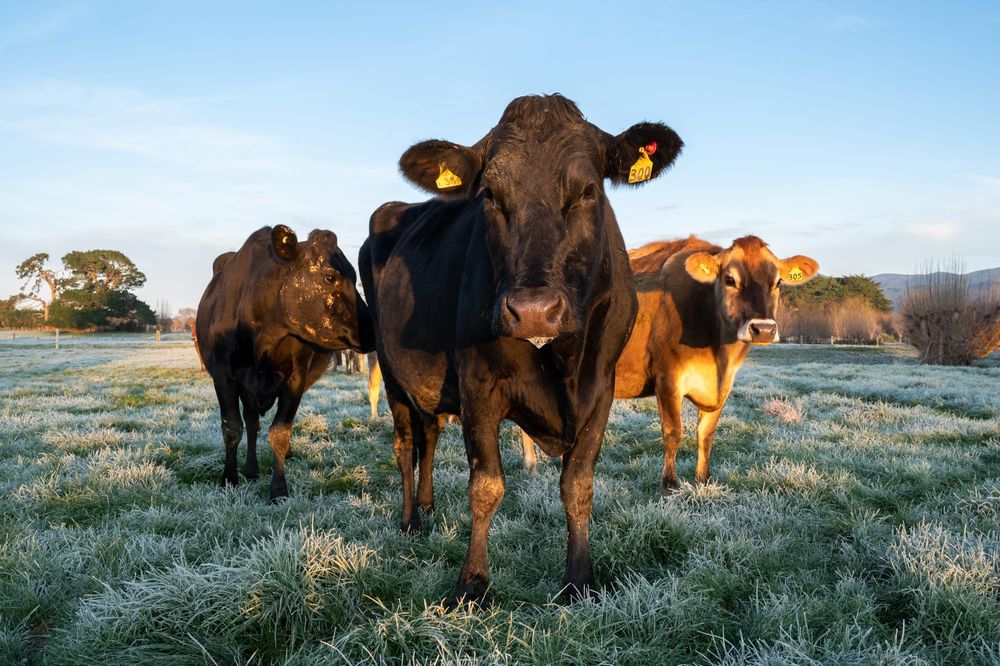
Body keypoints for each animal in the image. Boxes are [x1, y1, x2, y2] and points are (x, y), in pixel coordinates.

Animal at [196, 225, 375, 502]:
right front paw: (228, 479)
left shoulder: (295, 379)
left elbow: (280, 432)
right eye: (330, 277)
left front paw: (279, 489)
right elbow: (232, 428)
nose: (372, 330)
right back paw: (251, 468)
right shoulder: (224, 376)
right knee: (252, 422)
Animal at [359, 94, 683, 605]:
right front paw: (472, 583)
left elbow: (578, 486)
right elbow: (486, 485)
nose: (533, 311)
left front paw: (579, 580)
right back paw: (410, 519)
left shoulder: (601, 389)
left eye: (588, 191)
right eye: (489, 195)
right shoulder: (478, 385)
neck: (561, 363)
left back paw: (428, 509)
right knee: (405, 442)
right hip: (390, 370)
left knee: (429, 436)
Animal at [523, 235, 818, 489]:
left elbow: (706, 435)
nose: (763, 329)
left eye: (777, 282)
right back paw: (530, 465)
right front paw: (669, 484)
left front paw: (703, 479)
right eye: (730, 279)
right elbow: (673, 432)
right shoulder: (667, 378)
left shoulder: (722, 387)